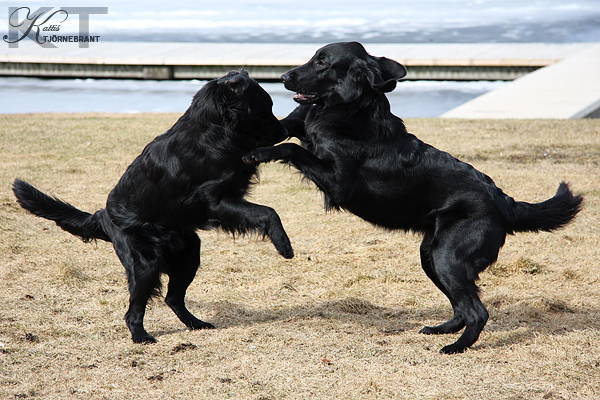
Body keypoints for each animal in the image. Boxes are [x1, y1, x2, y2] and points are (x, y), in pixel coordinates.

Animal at [12, 69, 294, 344]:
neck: (215, 129)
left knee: (172, 298)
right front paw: (284, 245)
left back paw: (196, 324)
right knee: (133, 311)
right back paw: (141, 336)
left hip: (189, 252)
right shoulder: (216, 200)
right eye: (265, 106)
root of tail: (104, 216)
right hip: (145, 265)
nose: (284, 132)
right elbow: (268, 212)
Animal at [243, 41, 580, 354]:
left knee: (477, 311)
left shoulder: (338, 183)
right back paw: (441, 330)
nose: (283, 77)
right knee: (462, 307)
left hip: (447, 257)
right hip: (430, 255)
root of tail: (502, 201)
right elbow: (287, 129)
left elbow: (292, 148)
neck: (350, 110)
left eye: (322, 62)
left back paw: (456, 347)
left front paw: (257, 153)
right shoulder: (298, 125)